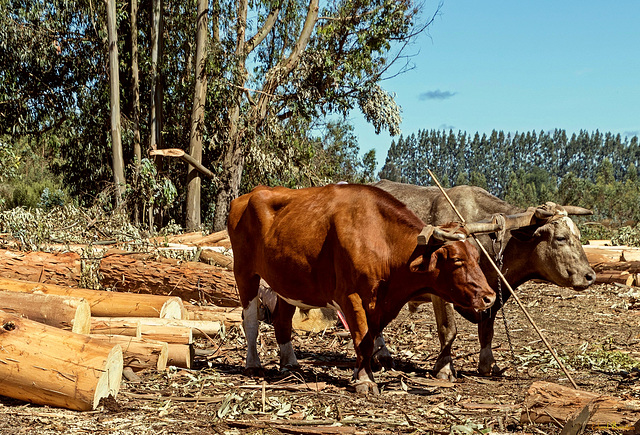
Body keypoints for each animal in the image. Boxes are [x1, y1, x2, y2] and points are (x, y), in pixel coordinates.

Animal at [228, 184, 498, 396]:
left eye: (477, 256)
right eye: (457, 260)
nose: (490, 297)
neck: (383, 240)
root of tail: (251, 193)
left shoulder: (379, 303)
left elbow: (370, 337)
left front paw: (361, 372)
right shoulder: (351, 296)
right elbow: (363, 338)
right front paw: (365, 381)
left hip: (287, 282)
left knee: (282, 322)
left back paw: (290, 364)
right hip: (244, 272)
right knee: (250, 321)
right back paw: (252, 363)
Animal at [370, 179, 596, 380]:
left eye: (578, 236)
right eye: (560, 238)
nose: (590, 276)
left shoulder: (492, 295)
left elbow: (487, 331)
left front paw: (488, 364)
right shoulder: (441, 294)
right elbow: (448, 330)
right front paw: (444, 368)